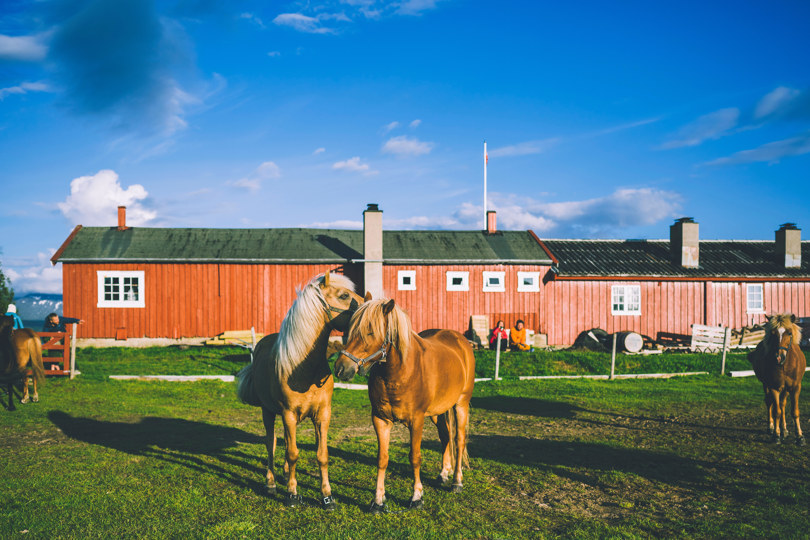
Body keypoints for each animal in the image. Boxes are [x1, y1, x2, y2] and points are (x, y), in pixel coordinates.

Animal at [235, 274, 364, 510]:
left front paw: (327, 496)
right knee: (271, 443)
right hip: (268, 412)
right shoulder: (288, 414)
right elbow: (293, 453)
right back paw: (271, 483)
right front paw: (292, 494)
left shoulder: (322, 414)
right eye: (344, 296)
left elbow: (321, 454)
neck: (304, 368)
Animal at [332, 300, 474, 516]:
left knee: (459, 439)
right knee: (445, 436)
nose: (341, 369)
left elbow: (414, 457)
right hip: (437, 412)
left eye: (370, 331)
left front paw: (416, 497)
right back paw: (444, 473)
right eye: (349, 330)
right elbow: (382, 458)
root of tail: (461, 340)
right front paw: (378, 501)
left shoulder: (416, 421)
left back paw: (457, 481)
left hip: (461, 404)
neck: (399, 372)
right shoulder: (380, 420)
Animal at [748, 314, 804, 446]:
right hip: (766, 385)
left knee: (782, 404)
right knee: (770, 403)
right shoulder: (773, 387)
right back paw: (771, 427)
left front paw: (799, 436)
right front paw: (776, 435)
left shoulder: (795, 387)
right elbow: (776, 411)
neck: (785, 366)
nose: (779, 357)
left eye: (789, 333)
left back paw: (784, 430)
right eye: (773, 333)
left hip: (786, 389)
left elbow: (794, 412)